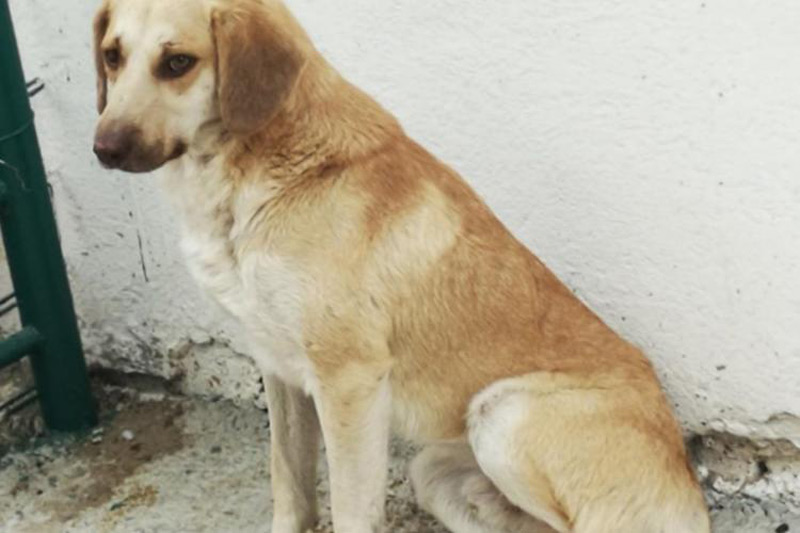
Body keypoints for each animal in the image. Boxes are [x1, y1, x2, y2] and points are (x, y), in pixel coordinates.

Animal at [92, 1, 711, 531]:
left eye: (178, 62)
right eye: (112, 55)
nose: (103, 149)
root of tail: (683, 470)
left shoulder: (350, 381)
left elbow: (350, 508)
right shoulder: (279, 368)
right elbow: (288, 482)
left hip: (500, 413)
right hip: (432, 471)